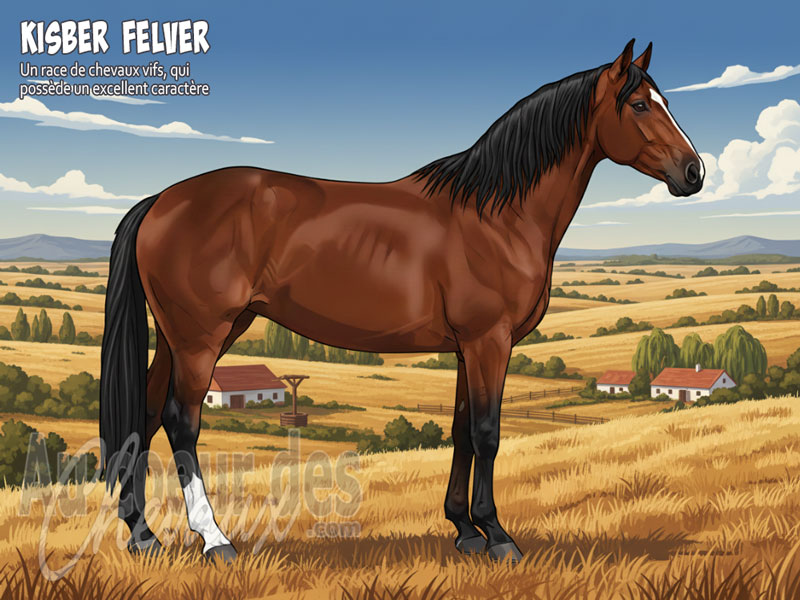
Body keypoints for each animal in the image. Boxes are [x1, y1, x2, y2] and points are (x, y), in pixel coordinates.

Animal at [100, 39, 704, 564]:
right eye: (639, 104)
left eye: (665, 101)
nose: (694, 172)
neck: (496, 214)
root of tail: (162, 200)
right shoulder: (489, 341)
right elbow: (488, 433)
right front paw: (498, 536)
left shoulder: (467, 347)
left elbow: (462, 430)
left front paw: (464, 529)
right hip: (200, 337)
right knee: (181, 421)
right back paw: (214, 539)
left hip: (187, 336)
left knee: (146, 415)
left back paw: (143, 535)